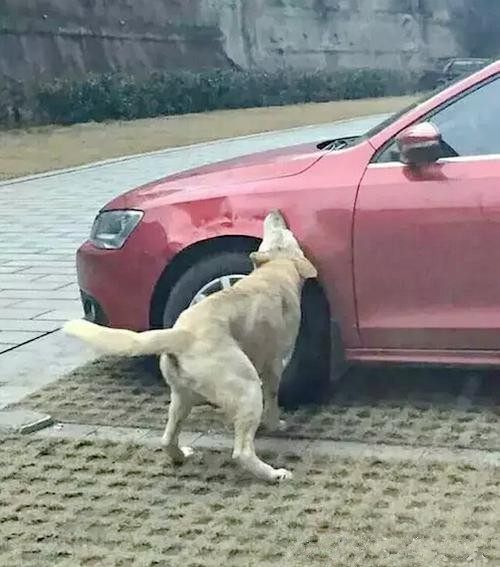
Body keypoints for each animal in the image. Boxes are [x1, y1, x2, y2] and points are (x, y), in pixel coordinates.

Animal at [63, 211, 316, 486]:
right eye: (284, 232)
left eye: (273, 232)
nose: (276, 213)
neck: (276, 270)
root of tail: (182, 334)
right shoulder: (274, 364)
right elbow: (273, 395)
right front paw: (276, 423)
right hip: (247, 387)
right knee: (242, 452)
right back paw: (273, 473)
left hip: (181, 397)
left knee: (167, 439)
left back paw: (181, 455)